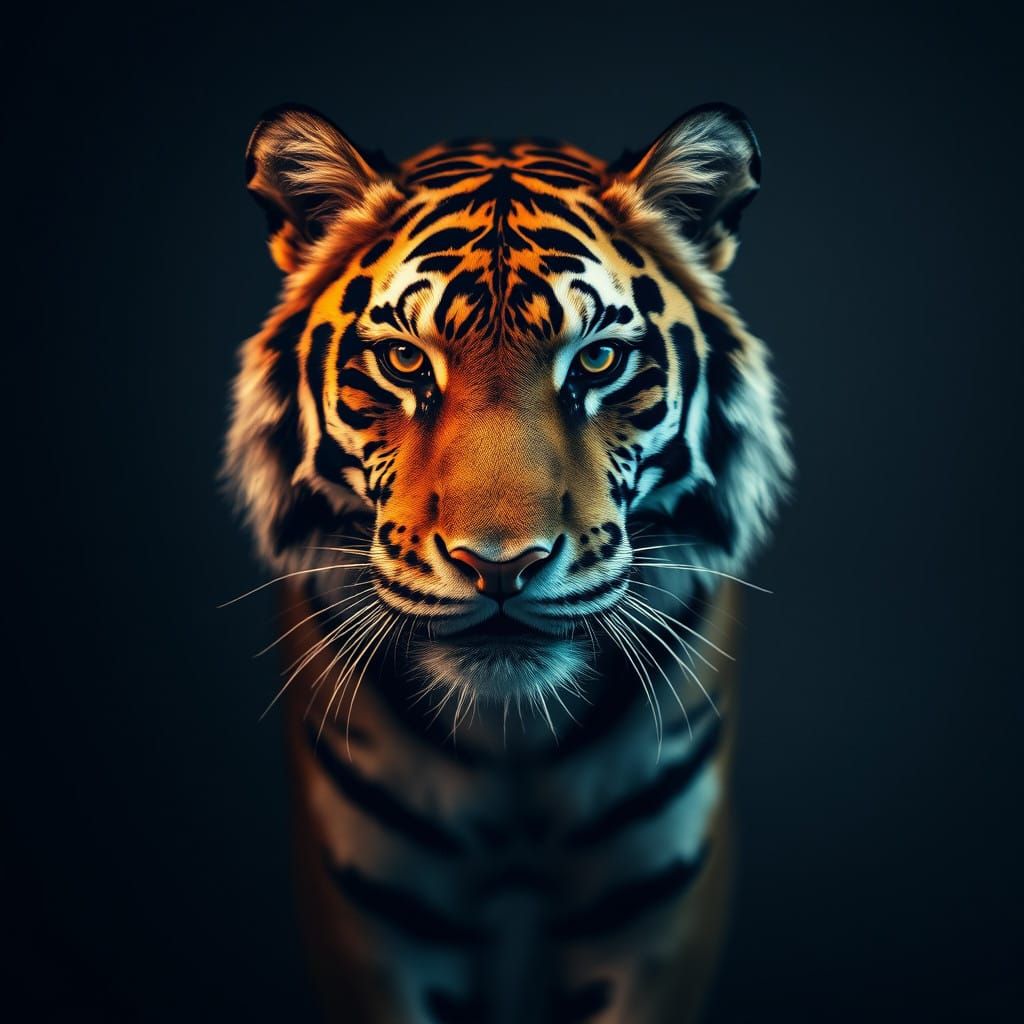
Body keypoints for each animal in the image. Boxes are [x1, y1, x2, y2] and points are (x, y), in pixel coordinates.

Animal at [224, 101, 791, 1024]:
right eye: (405, 359)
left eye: (597, 359)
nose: (499, 566)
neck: (511, 739)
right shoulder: (371, 916)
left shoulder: (657, 913)